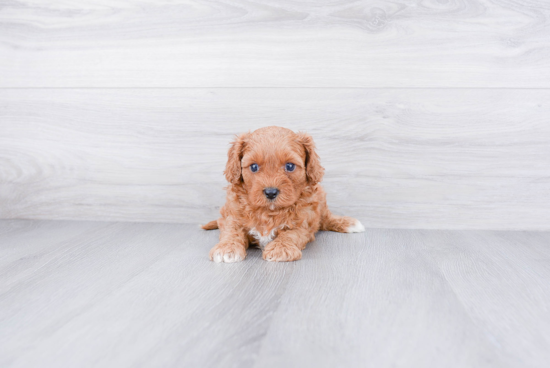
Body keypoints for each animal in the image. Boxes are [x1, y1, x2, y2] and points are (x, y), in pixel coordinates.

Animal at [203, 126, 366, 262]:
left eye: (290, 166)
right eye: (254, 167)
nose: (270, 192)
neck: (268, 211)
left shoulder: (303, 221)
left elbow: (291, 234)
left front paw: (280, 248)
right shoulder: (232, 215)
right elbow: (231, 231)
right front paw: (226, 248)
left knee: (325, 219)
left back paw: (348, 223)